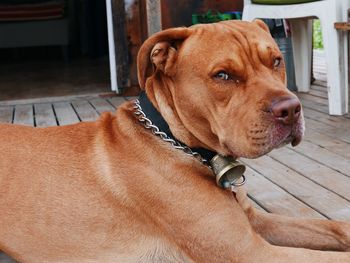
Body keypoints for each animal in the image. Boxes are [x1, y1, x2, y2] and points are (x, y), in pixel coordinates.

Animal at [0, 19, 350, 262]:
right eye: (223, 75)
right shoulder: (252, 252)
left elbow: (334, 227)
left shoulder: (255, 221)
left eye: (276, 61)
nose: (290, 109)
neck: (175, 140)